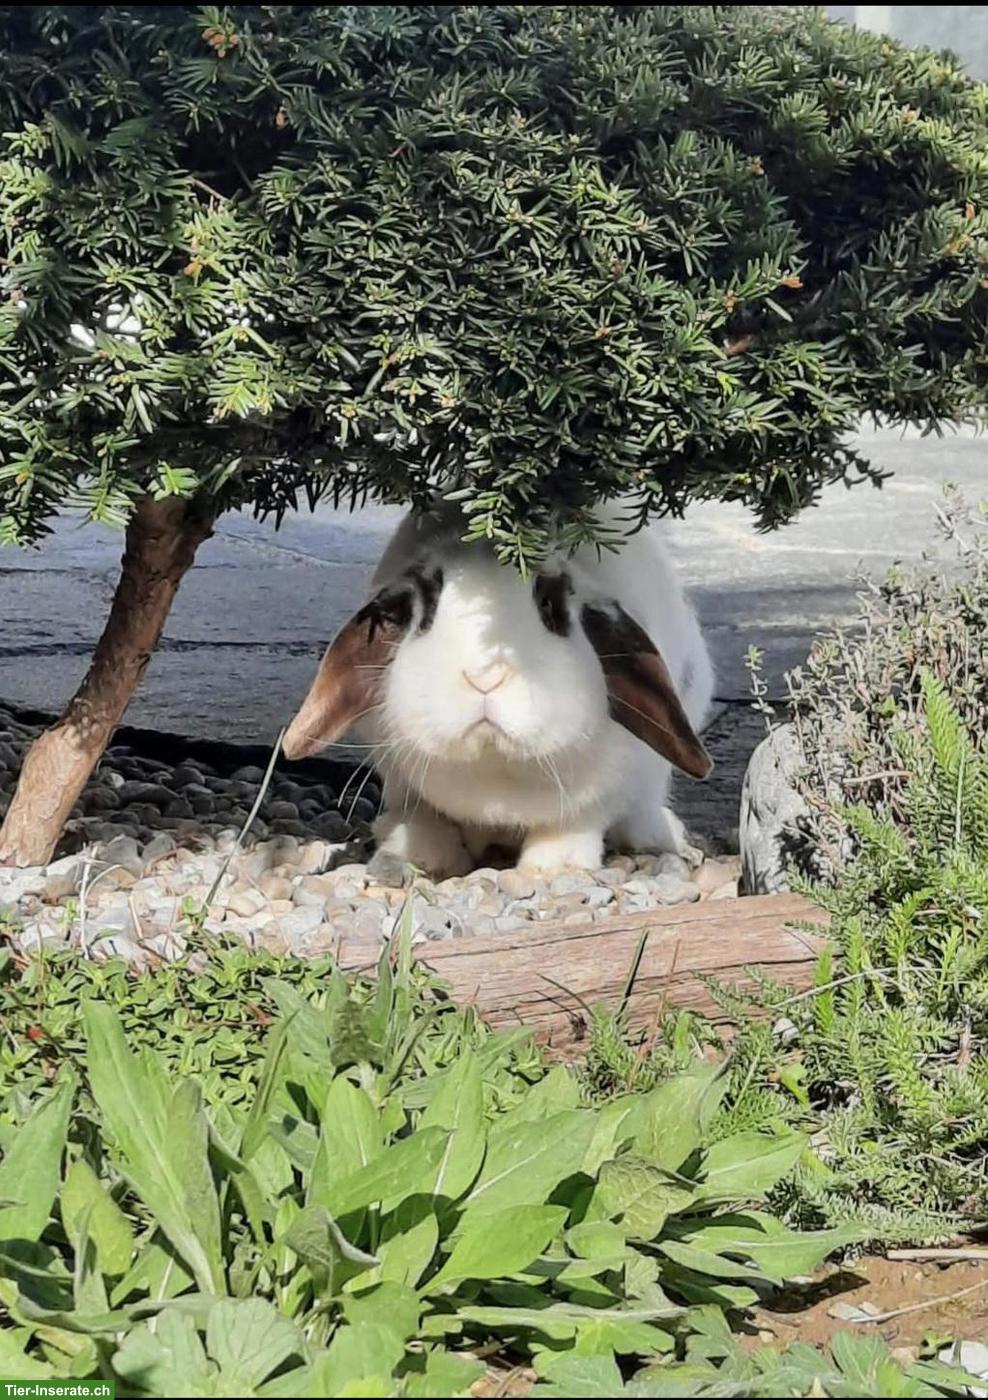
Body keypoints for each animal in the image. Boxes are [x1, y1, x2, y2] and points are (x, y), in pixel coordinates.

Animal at [283, 499, 714, 877]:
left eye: (550, 606)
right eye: (426, 610)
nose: (484, 676)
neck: (496, 775)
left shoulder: (603, 791)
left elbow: (576, 823)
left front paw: (554, 867)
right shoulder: (402, 781)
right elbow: (424, 816)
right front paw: (426, 857)